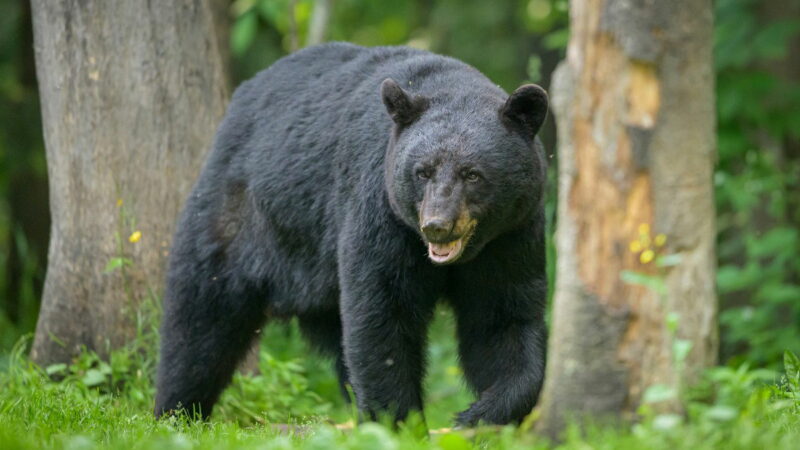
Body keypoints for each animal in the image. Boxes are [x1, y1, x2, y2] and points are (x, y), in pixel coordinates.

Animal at [153, 41, 548, 426]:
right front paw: (399, 422)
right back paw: (177, 411)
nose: (437, 225)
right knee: (201, 318)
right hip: (238, 217)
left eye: (473, 174)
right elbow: (382, 312)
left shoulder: (510, 236)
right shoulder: (381, 211)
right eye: (422, 171)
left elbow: (502, 318)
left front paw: (480, 414)